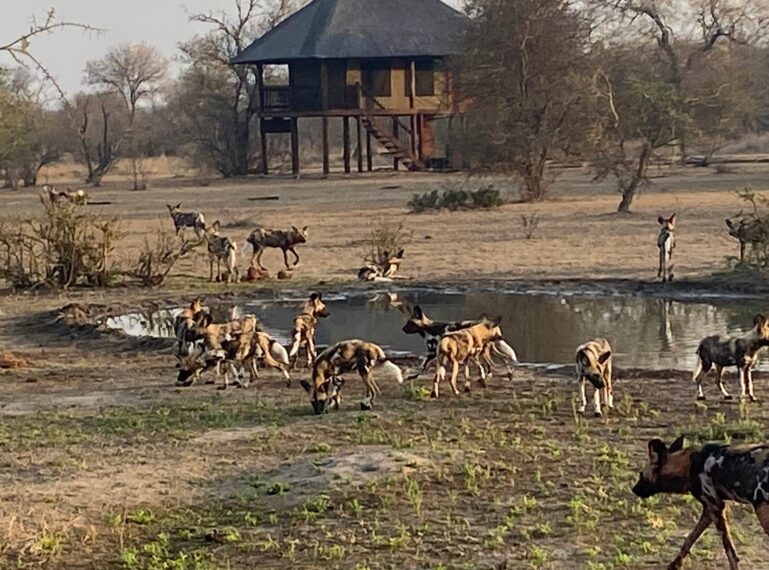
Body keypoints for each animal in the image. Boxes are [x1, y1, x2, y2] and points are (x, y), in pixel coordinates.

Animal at [632, 438, 768, 564]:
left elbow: (730, 553)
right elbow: (688, 541)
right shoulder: (708, 511)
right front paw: (675, 565)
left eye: (641, 475)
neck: (687, 466)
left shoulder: (716, 507)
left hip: (761, 510)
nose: (634, 489)